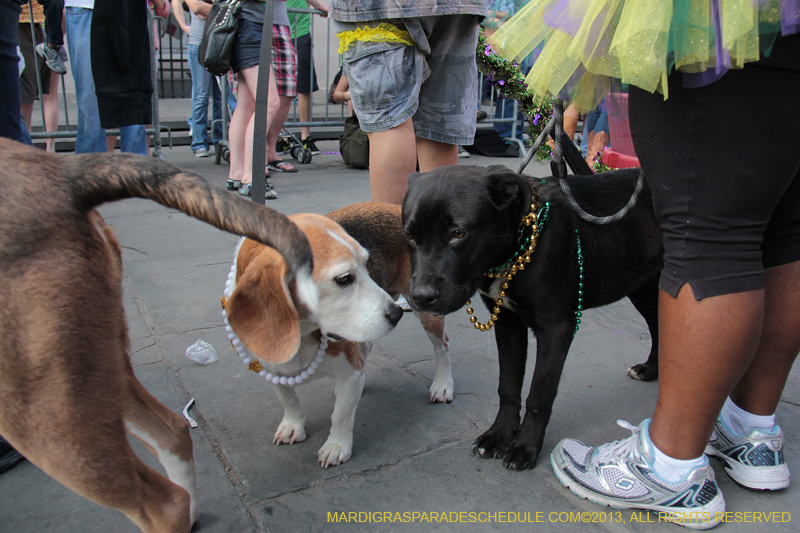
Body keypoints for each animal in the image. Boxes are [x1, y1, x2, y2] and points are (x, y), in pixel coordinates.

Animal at [406, 166, 664, 470]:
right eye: (410, 236)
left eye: (458, 233)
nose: (420, 297)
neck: (516, 247)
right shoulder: (508, 322)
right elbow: (508, 386)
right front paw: (499, 435)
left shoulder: (556, 328)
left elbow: (539, 392)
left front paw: (524, 446)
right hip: (642, 286)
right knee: (658, 326)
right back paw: (650, 369)